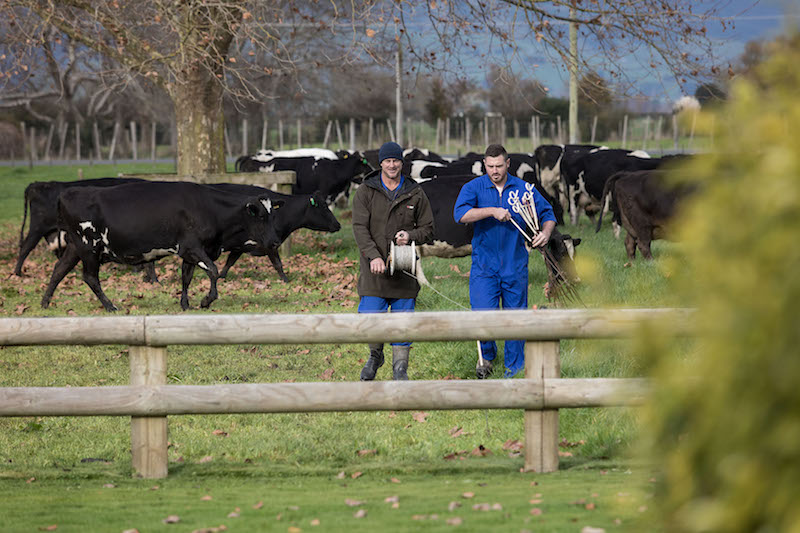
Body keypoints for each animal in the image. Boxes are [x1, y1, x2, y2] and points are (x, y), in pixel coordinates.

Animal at [41, 181, 284, 310]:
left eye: (273, 216)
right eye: (261, 217)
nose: (275, 241)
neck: (210, 209)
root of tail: (68, 192)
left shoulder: (189, 252)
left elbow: (186, 277)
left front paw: (185, 304)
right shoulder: (192, 248)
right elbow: (213, 271)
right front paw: (206, 300)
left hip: (75, 247)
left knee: (59, 270)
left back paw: (45, 302)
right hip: (88, 248)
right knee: (90, 277)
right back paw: (110, 306)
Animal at [206, 183, 340, 280]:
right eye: (324, 207)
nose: (338, 224)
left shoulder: (240, 246)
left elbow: (228, 263)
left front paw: (221, 278)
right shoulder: (269, 245)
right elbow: (278, 264)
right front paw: (286, 281)